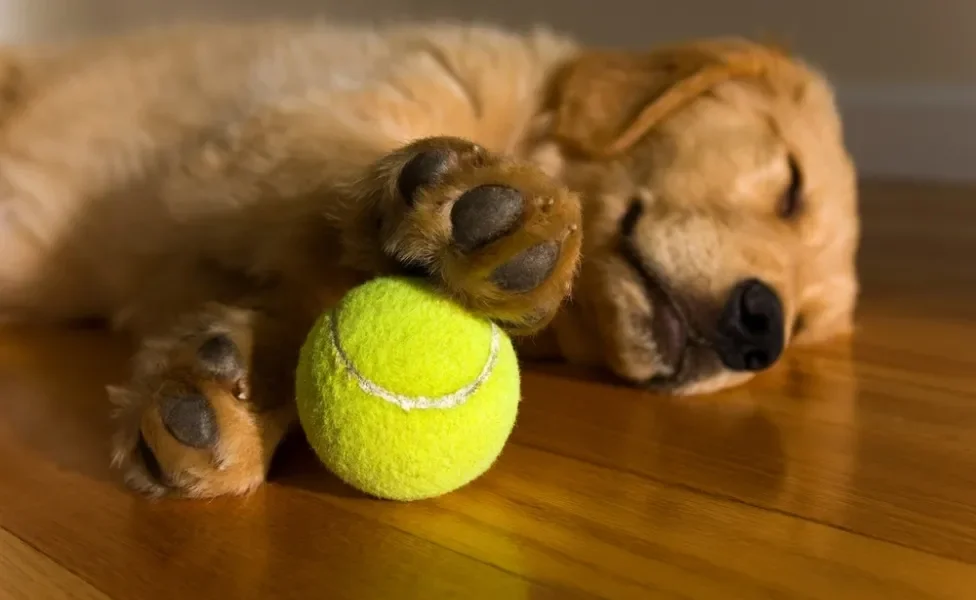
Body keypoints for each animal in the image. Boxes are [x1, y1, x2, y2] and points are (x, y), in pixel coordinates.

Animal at [0, 19, 856, 496]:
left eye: (806, 327)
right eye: (790, 186)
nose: (762, 331)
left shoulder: (179, 268)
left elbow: (293, 301)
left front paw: (228, 388)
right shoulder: (257, 146)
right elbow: (333, 180)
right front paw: (480, 209)